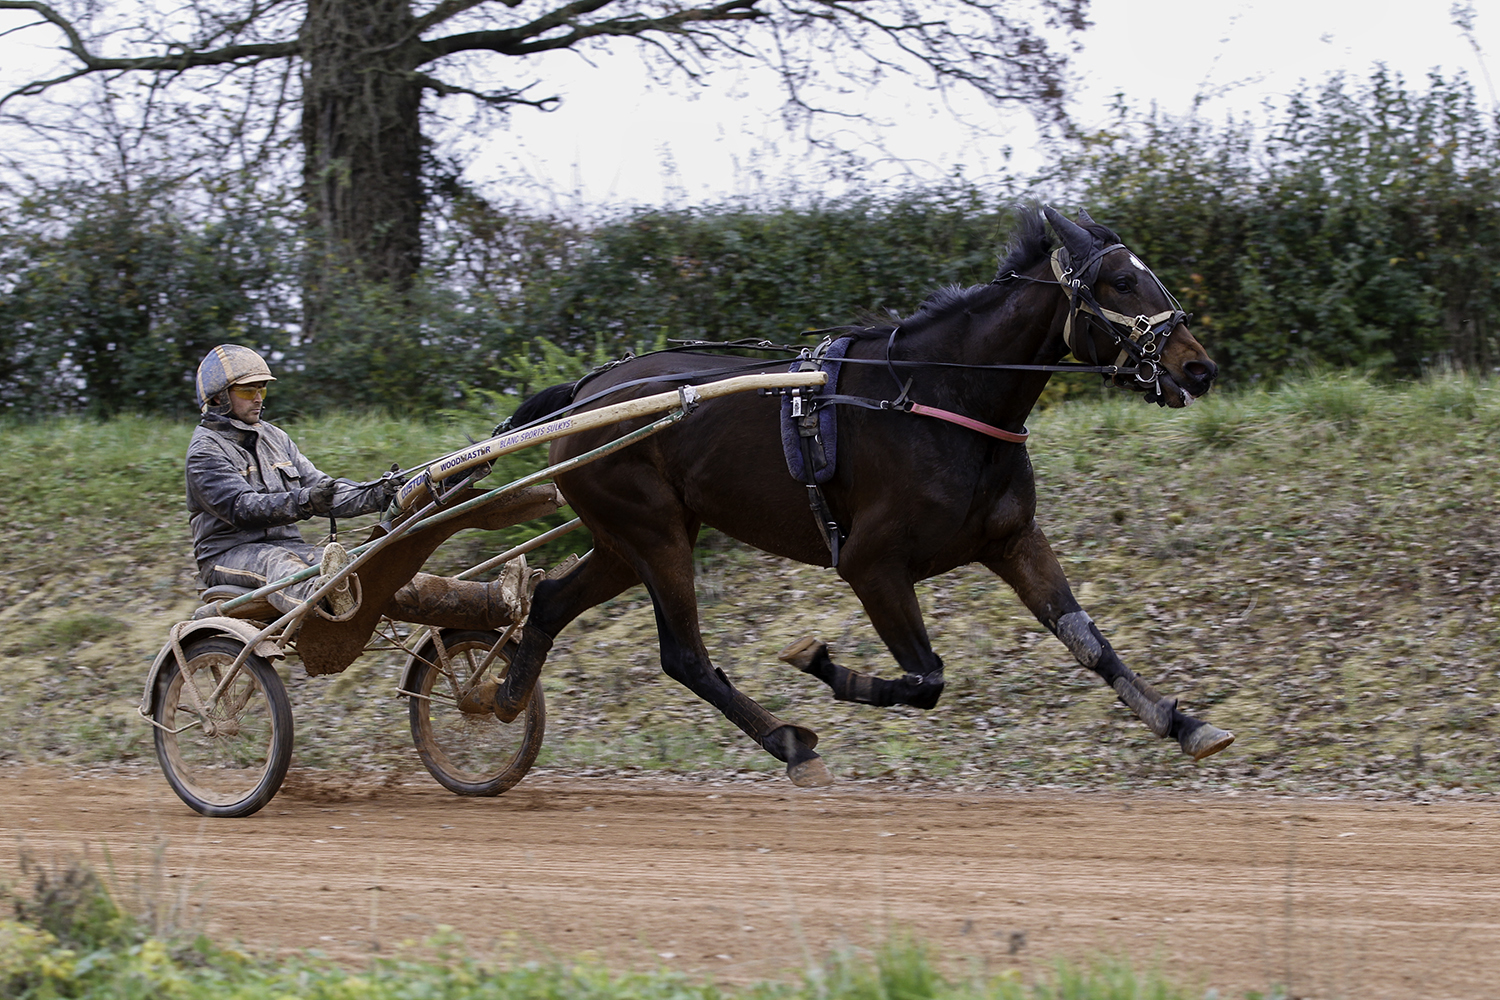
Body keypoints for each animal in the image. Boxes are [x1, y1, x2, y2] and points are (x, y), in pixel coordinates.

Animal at [492, 205, 1230, 791]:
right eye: (1122, 281)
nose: (1198, 367)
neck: (940, 396)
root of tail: (583, 395)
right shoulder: (870, 565)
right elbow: (927, 678)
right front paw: (822, 665)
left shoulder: (1012, 540)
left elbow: (1086, 641)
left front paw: (1184, 723)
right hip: (654, 532)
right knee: (685, 656)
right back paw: (790, 744)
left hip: (629, 540)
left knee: (551, 604)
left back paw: (500, 697)